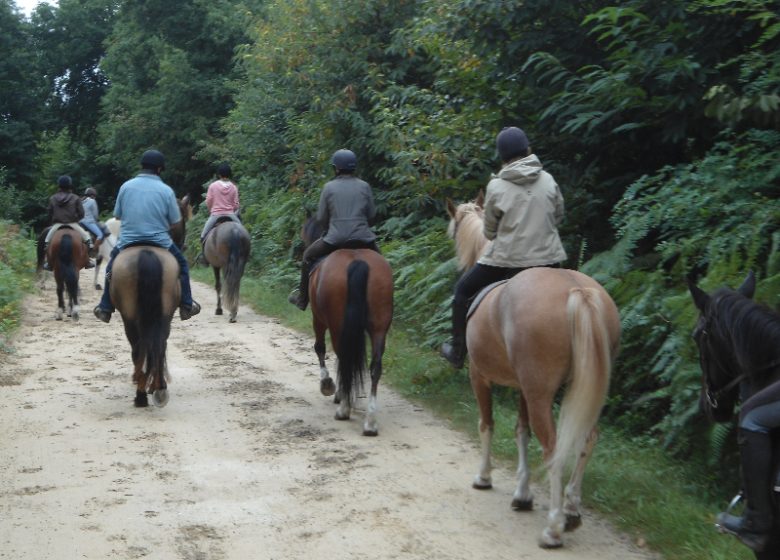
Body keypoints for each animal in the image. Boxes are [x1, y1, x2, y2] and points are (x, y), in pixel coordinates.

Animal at [109, 245, 180, 406]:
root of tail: (147, 253)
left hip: (129, 318)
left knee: (138, 350)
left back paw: (141, 395)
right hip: (164, 317)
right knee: (158, 347)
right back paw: (158, 389)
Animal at [302, 217, 394, 436]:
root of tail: (357, 261)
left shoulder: (318, 319)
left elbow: (320, 348)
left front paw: (328, 385)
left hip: (336, 324)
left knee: (343, 356)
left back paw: (343, 408)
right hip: (379, 326)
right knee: (375, 366)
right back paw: (370, 422)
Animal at [444, 197, 620, 548]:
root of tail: (577, 291)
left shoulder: (480, 377)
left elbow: (487, 425)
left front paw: (484, 477)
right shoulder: (525, 387)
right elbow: (520, 431)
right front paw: (522, 494)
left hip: (539, 394)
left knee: (554, 448)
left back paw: (553, 528)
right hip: (578, 391)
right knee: (587, 438)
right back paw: (571, 509)